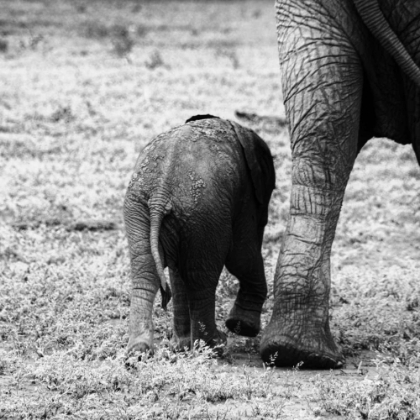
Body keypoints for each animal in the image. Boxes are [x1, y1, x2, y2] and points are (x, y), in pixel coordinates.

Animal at [124, 115, 276, 354]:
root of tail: (160, 193)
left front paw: (182, 344)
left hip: (141, 208)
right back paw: (215, 344)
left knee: (145, 271)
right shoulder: (245, 195)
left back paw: (140, 351)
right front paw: (243, 328)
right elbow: (241, 255)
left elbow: (177, 273)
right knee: (202, 278)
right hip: (203, 211)